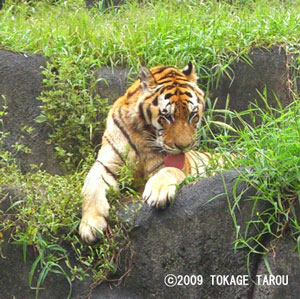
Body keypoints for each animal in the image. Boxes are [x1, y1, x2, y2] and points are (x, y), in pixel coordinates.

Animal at [79, 62, 214, 244]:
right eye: (167, 116)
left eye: (192, 115)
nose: (184, 146)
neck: (142, 134)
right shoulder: (105, 164)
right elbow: (91, 188)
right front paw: (90, 226)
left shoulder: (168, 166)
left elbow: (168, 171)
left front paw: (157, 193)